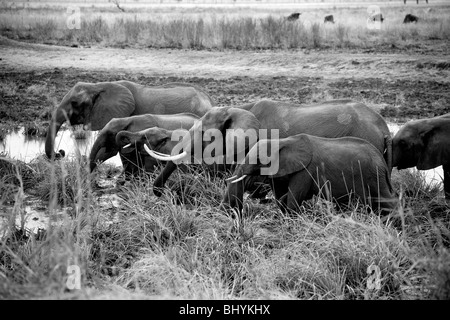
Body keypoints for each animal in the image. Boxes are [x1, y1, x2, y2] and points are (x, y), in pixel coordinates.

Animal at [227, 134, 396, 214]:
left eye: (258, 159)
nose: (237, 214)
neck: (282, 141)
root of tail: (382, 161)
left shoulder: (305, 171)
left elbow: (293, 198)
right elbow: (282, 197)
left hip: (373, 176)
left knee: (386, 201)